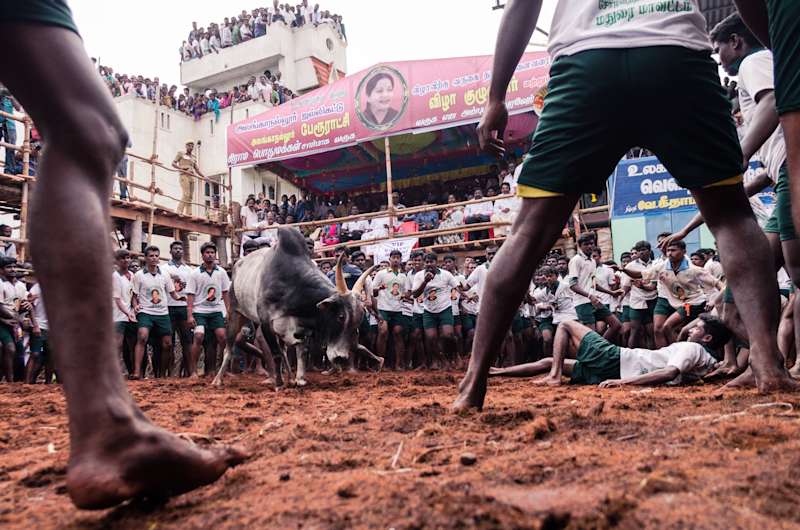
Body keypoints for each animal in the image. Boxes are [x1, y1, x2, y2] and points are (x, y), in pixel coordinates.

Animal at [212, 227, 381, 387]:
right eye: (341, 316)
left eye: (357, 322)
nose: (342, 358)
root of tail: (237, 264)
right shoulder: (267, 323)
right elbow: (276, 354)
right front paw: (279, 384)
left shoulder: (301, 328)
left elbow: (301, 352)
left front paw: (299, 379)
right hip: (236, 312)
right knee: (229, 348)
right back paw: (218, 379)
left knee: (284, 350)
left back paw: (290, 378)